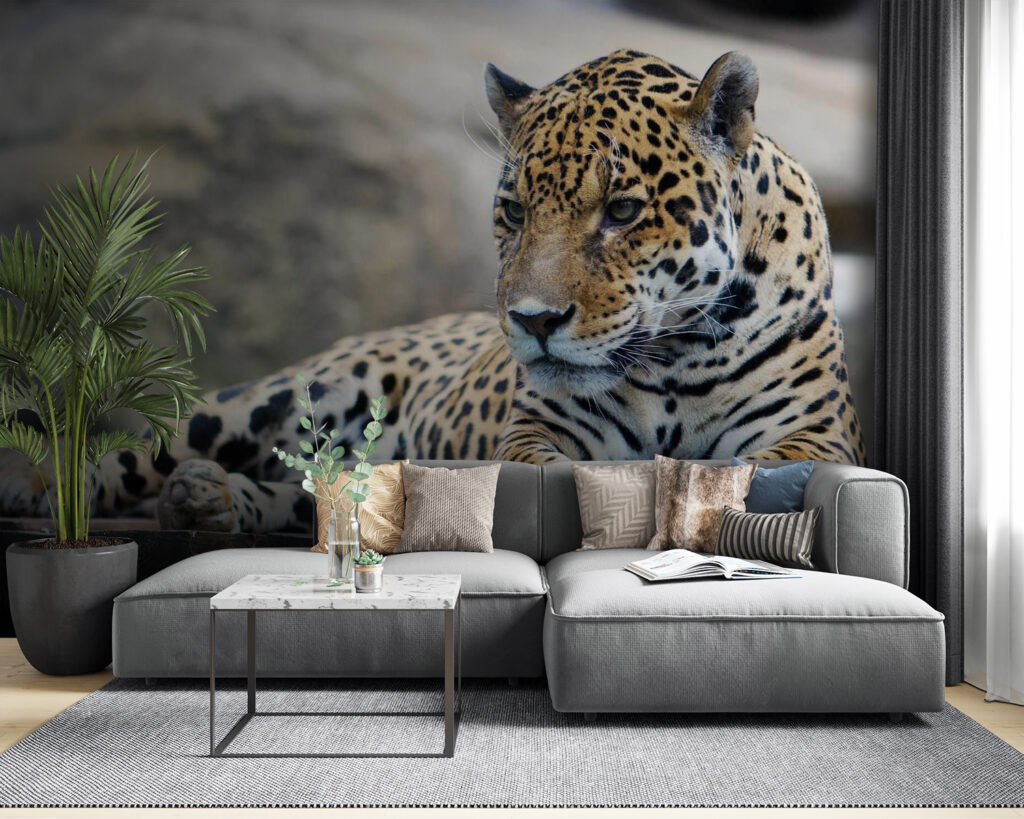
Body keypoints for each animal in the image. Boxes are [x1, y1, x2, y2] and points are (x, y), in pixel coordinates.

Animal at [0, 49, 866, 534]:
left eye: (622, 212)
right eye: (514, 212)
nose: (533, 321)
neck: (674, 362)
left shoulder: (815, 441)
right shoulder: (539, 436)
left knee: (319, 496)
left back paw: (209, 501)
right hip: (290, 392)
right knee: (138, 448)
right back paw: (42, 486)